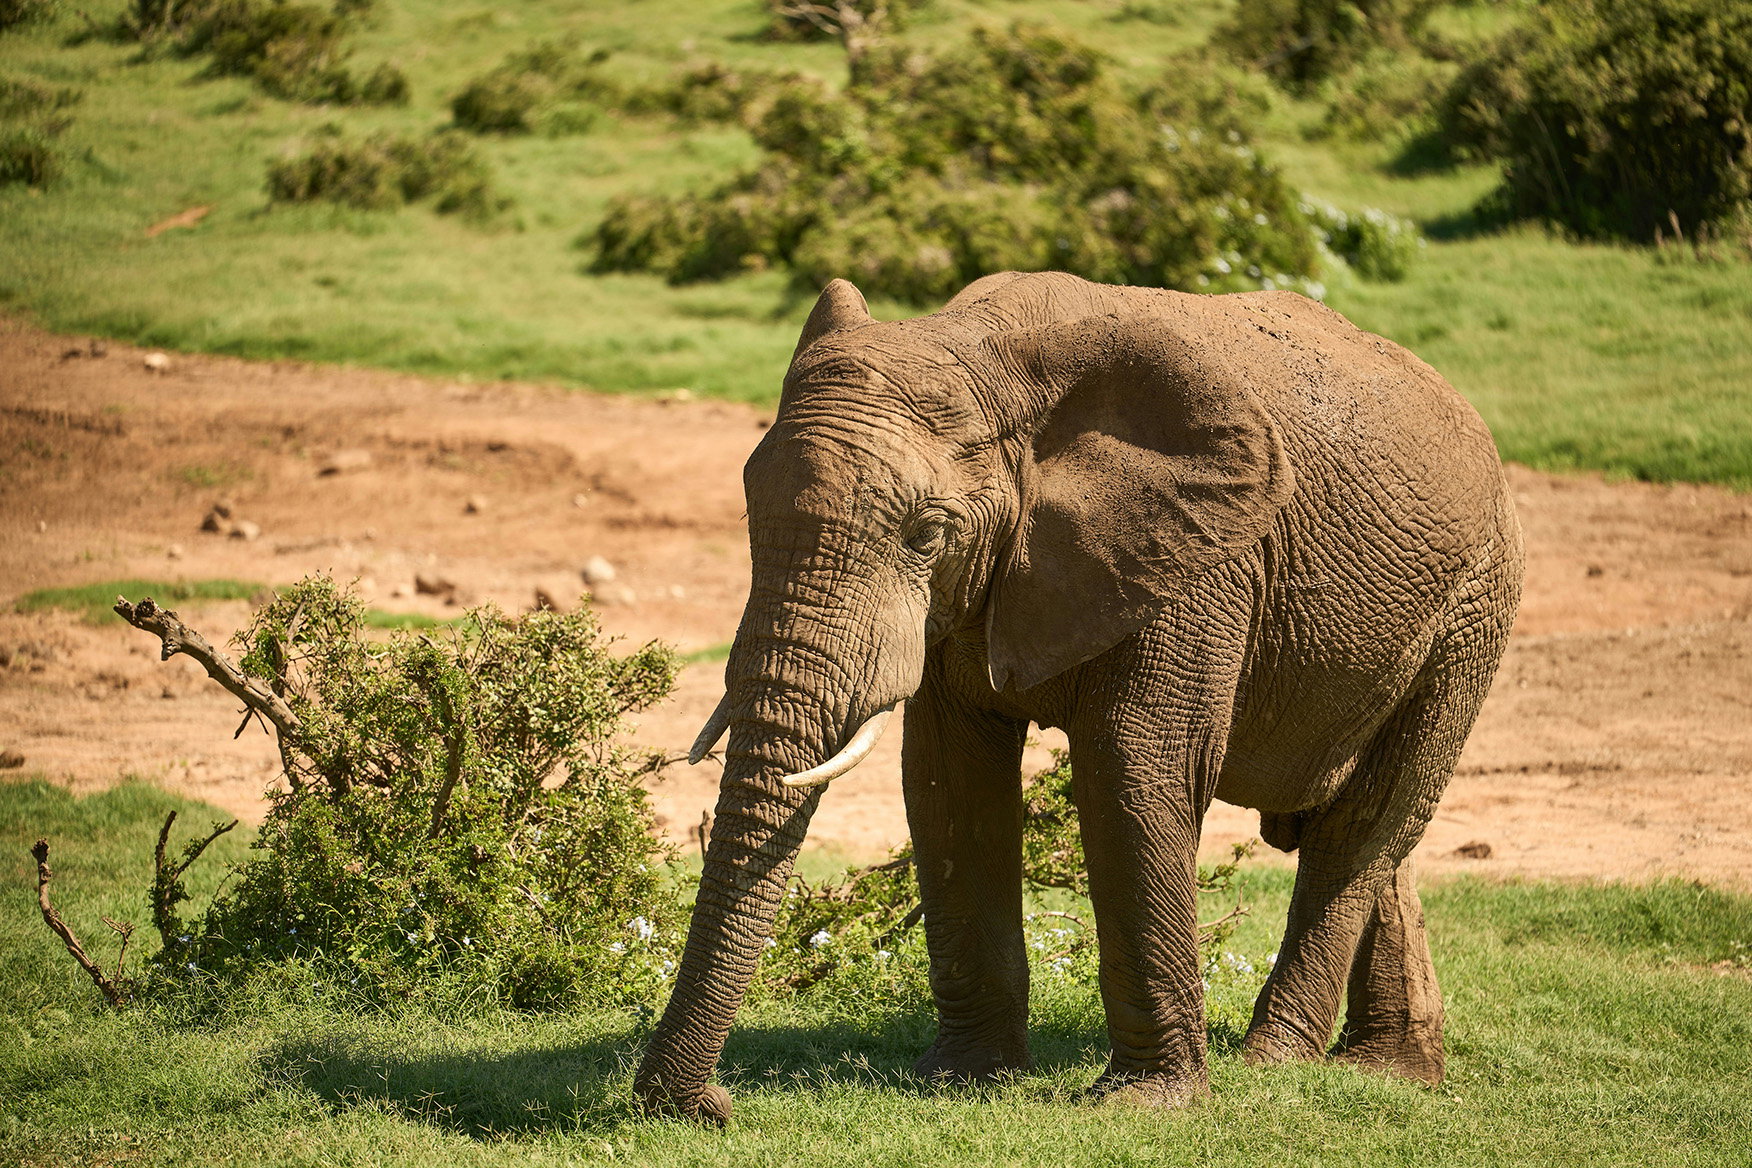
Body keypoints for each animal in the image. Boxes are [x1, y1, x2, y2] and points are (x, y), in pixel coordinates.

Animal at [634, 270, 1523, 1122]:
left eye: (926, 534)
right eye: (750, 513)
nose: (711, 1106)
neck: (979, 346)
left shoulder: (1198, 564)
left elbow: (1136, 766)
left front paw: (1147, 1102)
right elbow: (947, 779)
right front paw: (963, 1077)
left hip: (1473, 610)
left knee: (1363, 826)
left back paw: (1274, 1061)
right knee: (1370, 833)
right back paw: (1389, 1071)